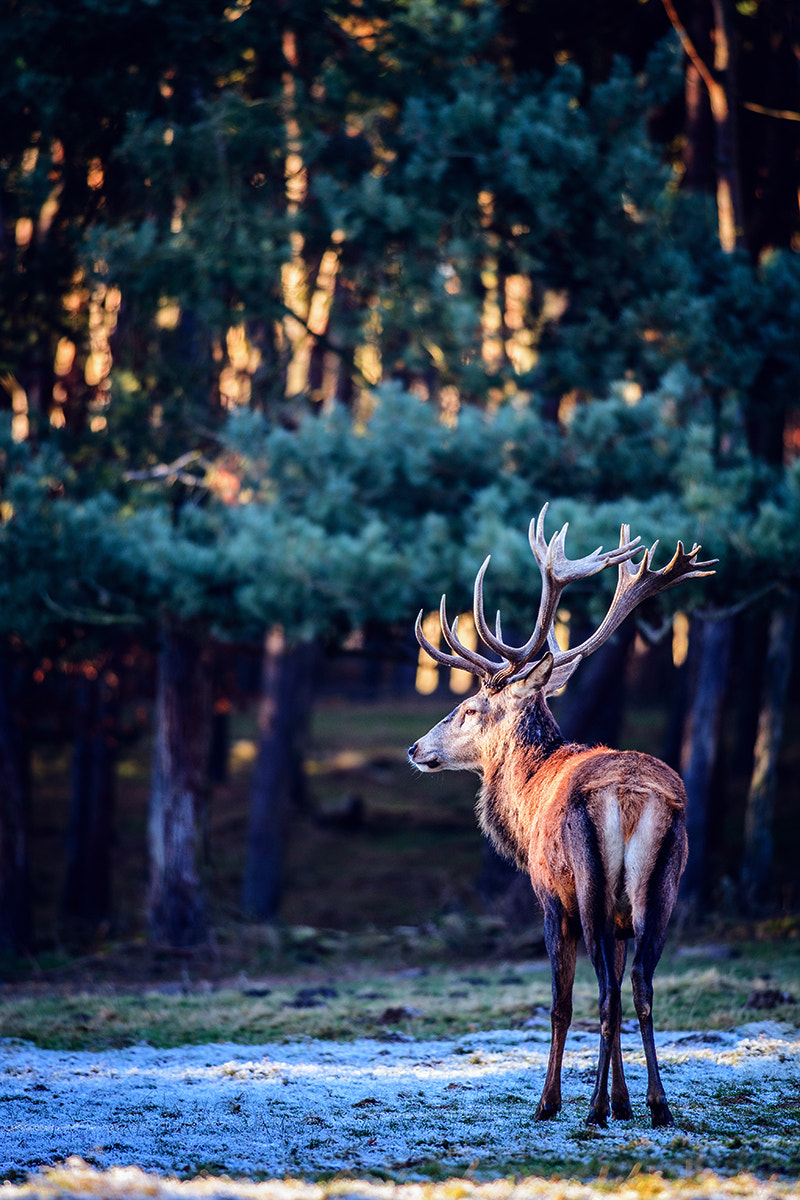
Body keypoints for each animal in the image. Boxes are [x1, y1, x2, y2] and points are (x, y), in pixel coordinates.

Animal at [410, 501, 714, 1128]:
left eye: (468, 709)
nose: (415, 748)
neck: (525, 801)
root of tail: (631, 794)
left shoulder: (549, 896)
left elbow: (560, 1002)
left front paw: (551, 1102)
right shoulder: (622, 917)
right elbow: (620, 989)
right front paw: (625, 1100)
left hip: (589, 882)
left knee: (602, 993)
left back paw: (591, 1109)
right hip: (662, 883)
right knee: (640, 986)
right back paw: (656, 1106)